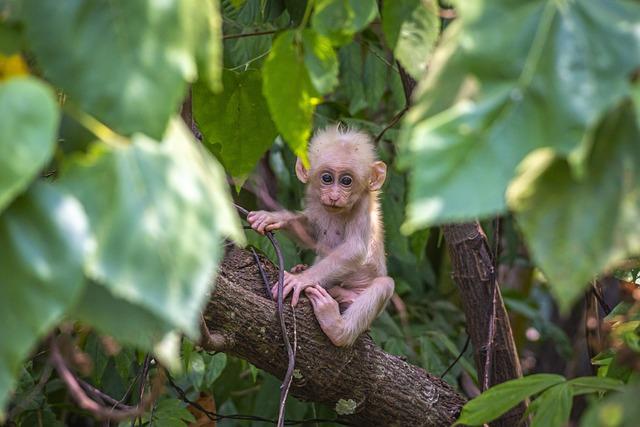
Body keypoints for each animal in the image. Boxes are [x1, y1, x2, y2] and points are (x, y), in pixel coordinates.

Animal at [246, 127, 392, 348]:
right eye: (327, 178)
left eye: (346, 181)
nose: (334, 196)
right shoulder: (316, 199)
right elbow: (311, 232)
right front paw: (273, 217)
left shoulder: (363, 205)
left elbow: (356, 248)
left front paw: (300, 280)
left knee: (384, 284)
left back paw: (337, 328)